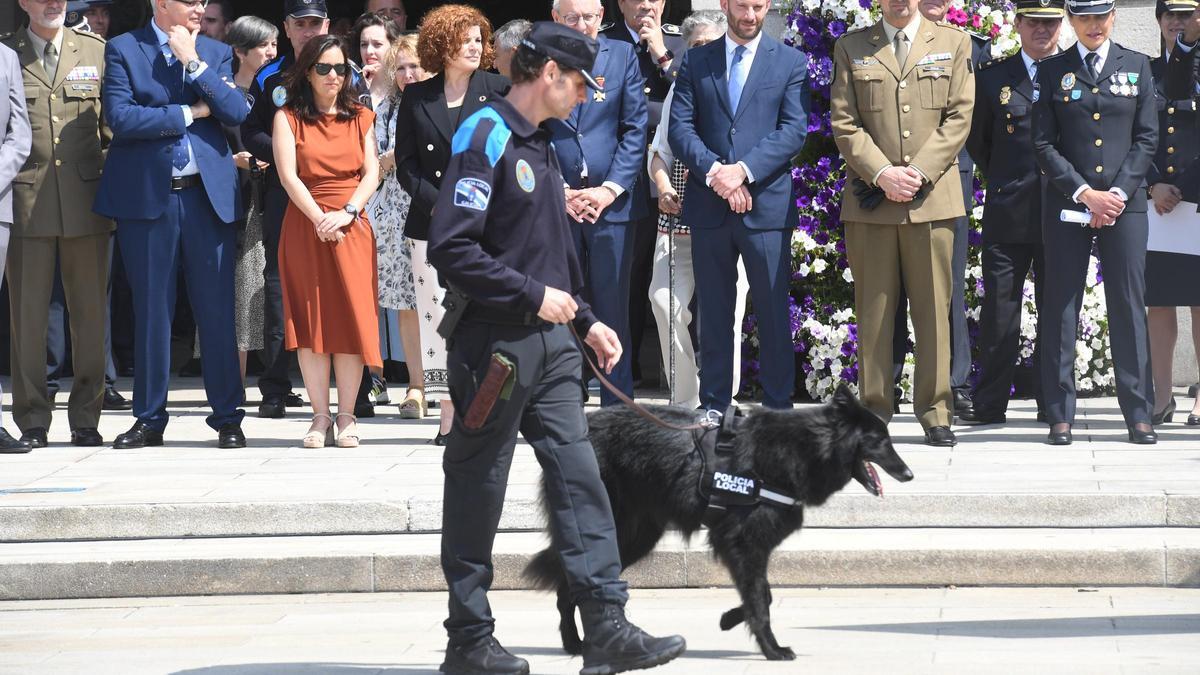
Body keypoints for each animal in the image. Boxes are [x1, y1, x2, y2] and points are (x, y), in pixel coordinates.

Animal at [523, 384, 907, 658]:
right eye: (881, 441)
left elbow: (762, 594)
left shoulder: (742, 546)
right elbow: (760, 598)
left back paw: (583, 644)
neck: (801, 448)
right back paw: (577, 643)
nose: (909, 474)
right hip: (618, 530)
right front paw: (771, 648)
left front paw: (730, 619)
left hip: (636, 537)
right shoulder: (741, 542)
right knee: (570, 582)